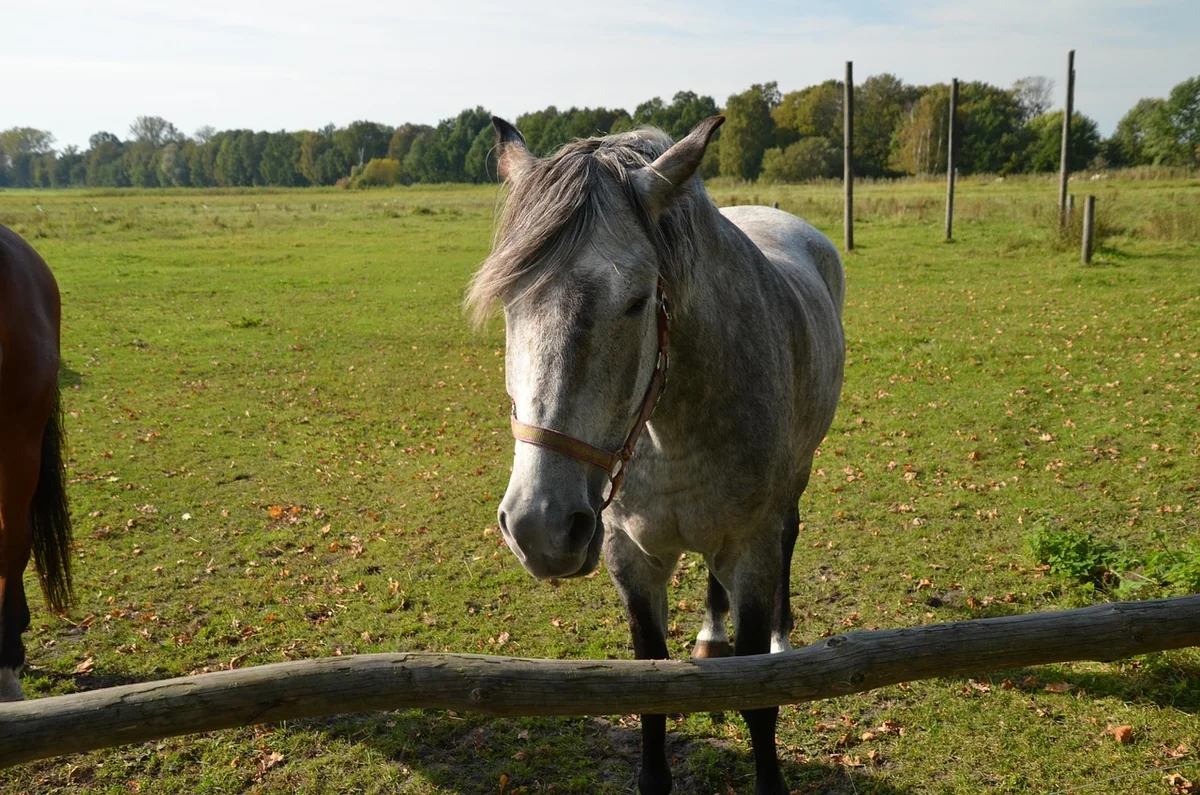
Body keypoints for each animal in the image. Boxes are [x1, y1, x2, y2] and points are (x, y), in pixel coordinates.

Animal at [467, 116, 845, 794]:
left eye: (638, 300)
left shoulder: (751, 550)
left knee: (790, 537)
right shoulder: (631, 557)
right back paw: (710, 634)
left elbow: (757, 698)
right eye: (510, 300)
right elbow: (651, 688)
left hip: (795, 483)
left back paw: (783, 637)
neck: (673, 428)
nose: (540, 527)